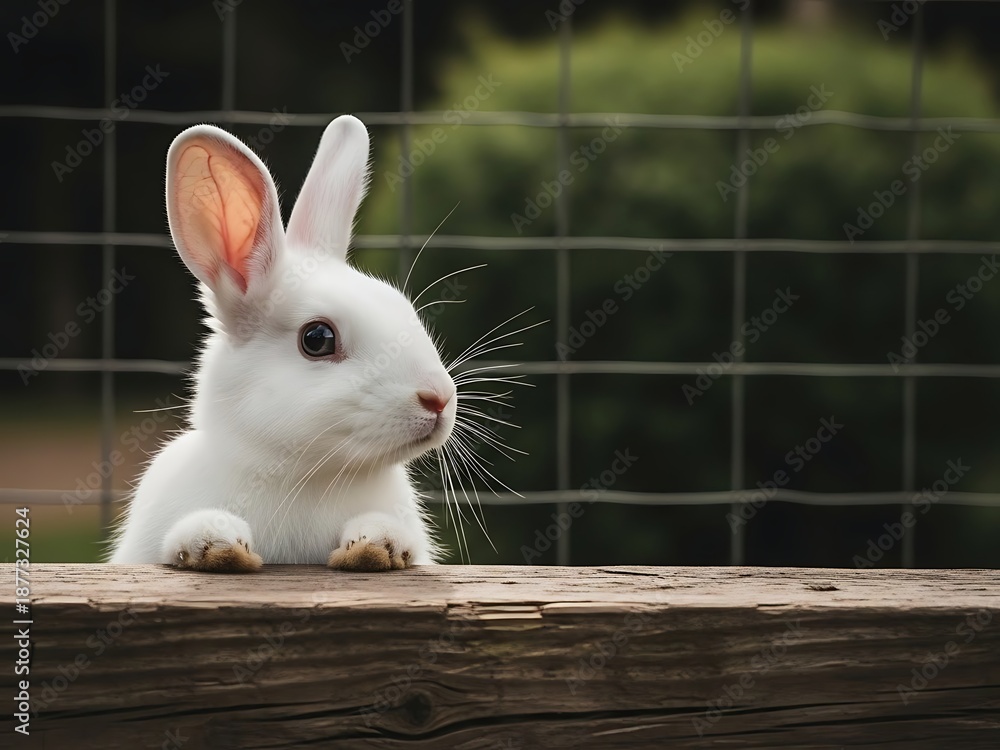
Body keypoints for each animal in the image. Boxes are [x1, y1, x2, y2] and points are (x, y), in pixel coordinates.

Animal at [108, 115, 456, 573]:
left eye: (403, 307)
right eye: (317, 338)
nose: (439, 398)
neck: (305, 477)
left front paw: (377, 545)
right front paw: (216, 543)